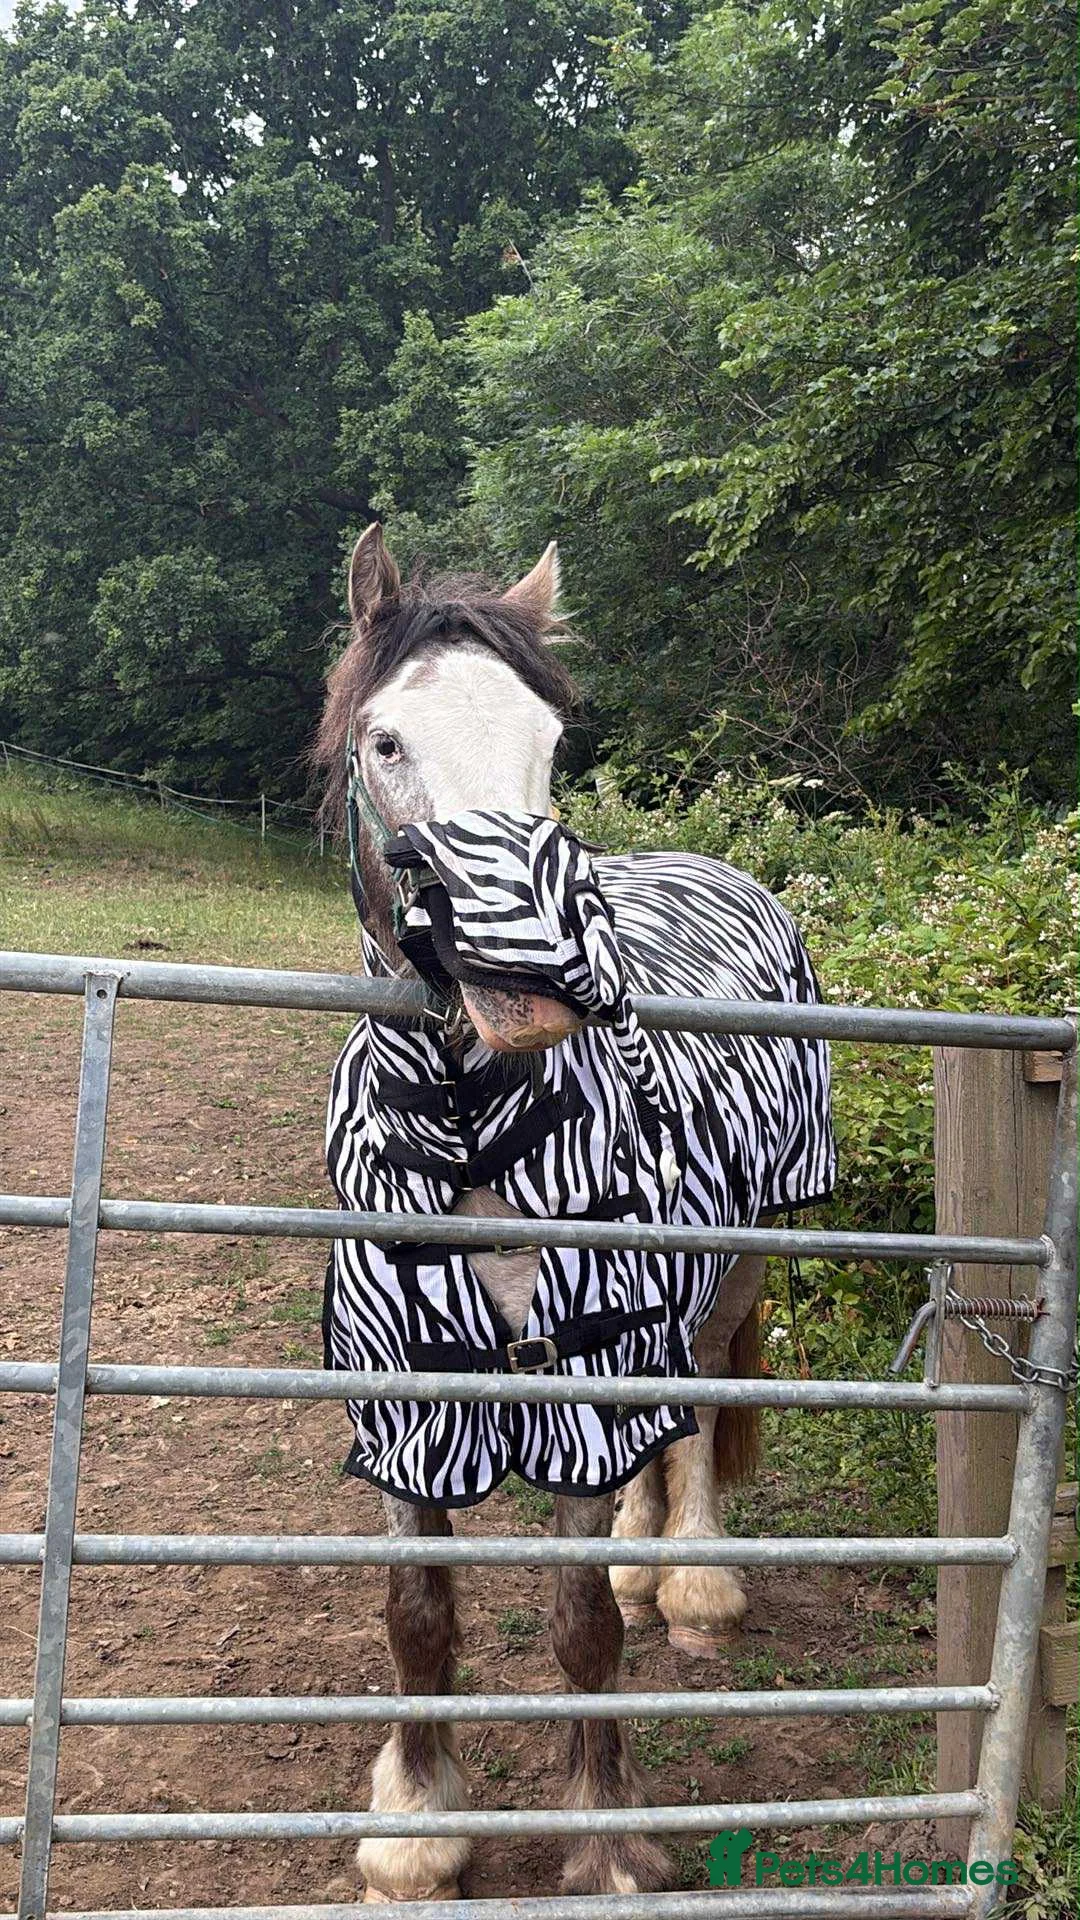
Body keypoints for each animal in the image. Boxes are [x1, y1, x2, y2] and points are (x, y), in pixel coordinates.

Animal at [313, 524, 835, 1903]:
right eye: (386, 740)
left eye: (549, 743)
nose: (530, 983)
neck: (471, 1131)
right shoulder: (405, 1404)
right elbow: (419, 1615)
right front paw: (414, 1829)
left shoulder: (587, 1381)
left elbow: (581, 1626)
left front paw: (605, 1838)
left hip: (739, 1266)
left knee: (701, 1402)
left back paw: (691, 1578)